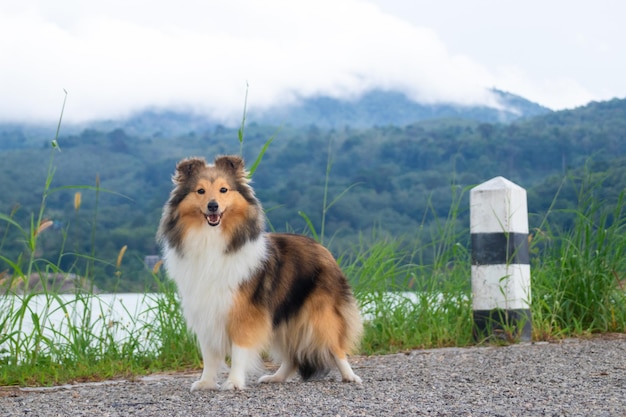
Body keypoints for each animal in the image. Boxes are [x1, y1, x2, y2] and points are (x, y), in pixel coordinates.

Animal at [156, 154, 360, 390]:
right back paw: (276, 377)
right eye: (200, 191)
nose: (213, 206)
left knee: (336, 347)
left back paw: (350, 375)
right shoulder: (206, 312)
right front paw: (206, 382)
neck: (212, 240)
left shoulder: (244, 313)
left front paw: (233, 382)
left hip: (319, 316)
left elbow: (238, 351)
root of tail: (324, 249)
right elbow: (209, 355)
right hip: (283, 320)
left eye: (224, 190)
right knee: (292, 357)